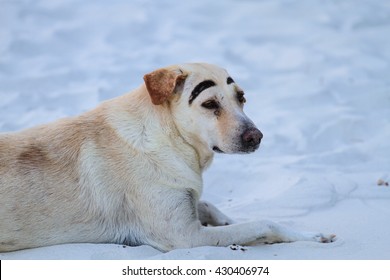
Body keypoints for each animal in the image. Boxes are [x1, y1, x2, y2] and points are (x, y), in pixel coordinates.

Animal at [0, 63, 336, 252]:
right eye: (210, 104)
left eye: (241, 98)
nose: (256, 137)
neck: (172, 138)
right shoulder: (184, 236)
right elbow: (264, 224)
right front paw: (311, 235)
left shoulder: (185, 205)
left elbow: (209, 205)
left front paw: (227, 219)